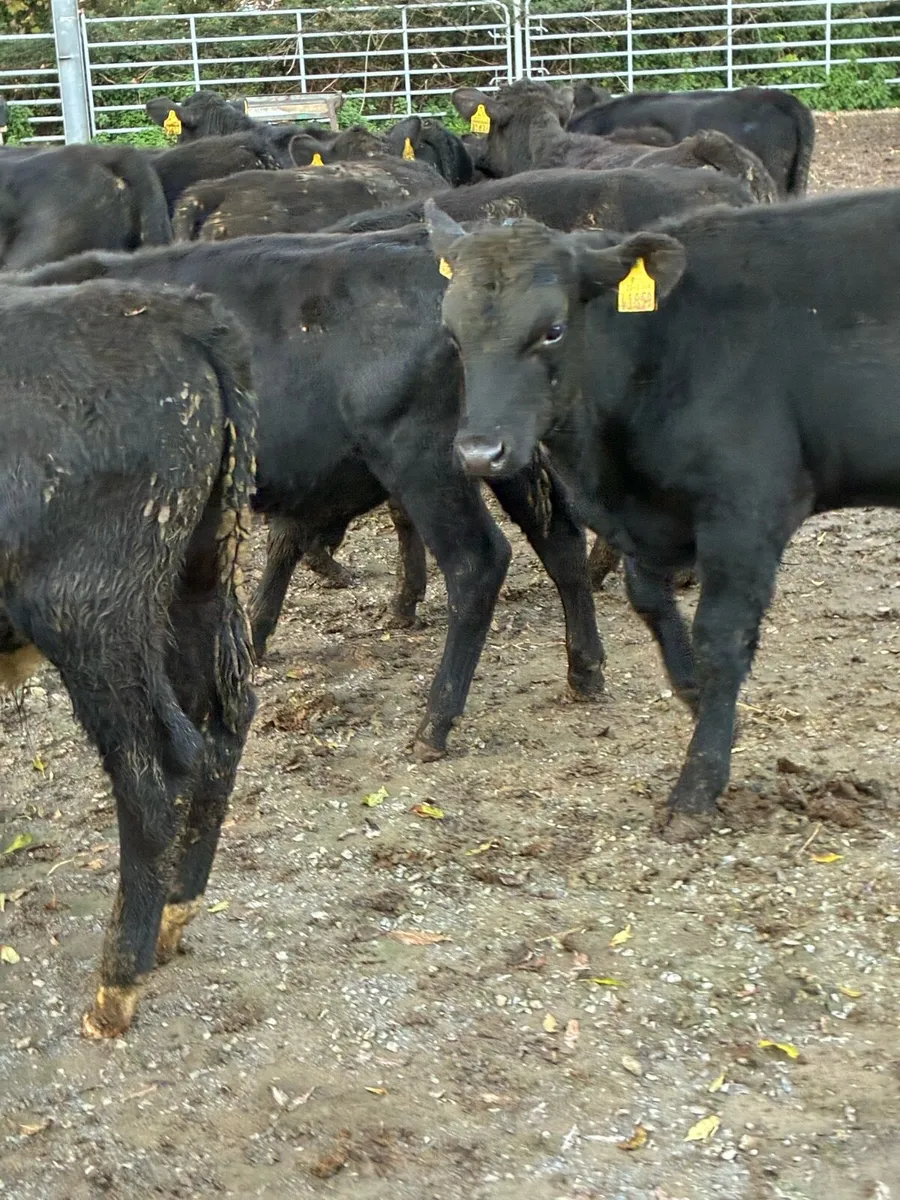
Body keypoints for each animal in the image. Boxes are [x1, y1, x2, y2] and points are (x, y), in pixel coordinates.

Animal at [0, 279, 256, 1035]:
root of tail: (173, 311)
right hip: (198, 579)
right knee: (224, 722)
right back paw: (175, 912)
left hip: (92, 623)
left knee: (158, 770)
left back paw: (116, 983)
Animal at [18, 233, 606, 758]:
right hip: (501, 459)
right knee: (559, 537)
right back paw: (585, 671)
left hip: (425, 465)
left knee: (476, 563)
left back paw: (434, 723)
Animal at [427, 188, 900, 839]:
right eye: (452, 336)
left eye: (553, 330)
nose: (479, 453)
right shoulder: (645, 522)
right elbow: (649, 601)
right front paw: (699, 699)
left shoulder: (746, 512)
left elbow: (722, 638)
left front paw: (697, 786)